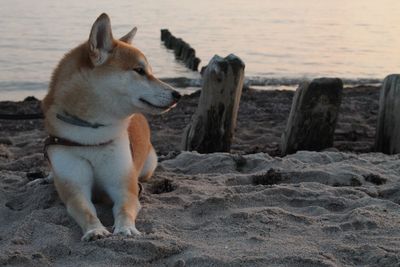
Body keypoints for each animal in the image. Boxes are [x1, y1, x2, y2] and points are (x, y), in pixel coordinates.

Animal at [41, 13, 181, 242]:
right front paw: (95, 230)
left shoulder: (124, 186)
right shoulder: (75, 188)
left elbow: (123, 208)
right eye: (140, 70)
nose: (178, 95)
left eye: (149, 71)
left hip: (148, 166)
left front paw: (126, 229)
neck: (92, 135)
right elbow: (86, 210)